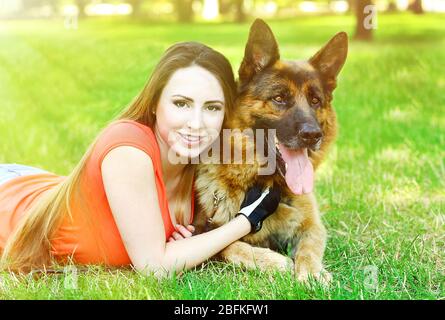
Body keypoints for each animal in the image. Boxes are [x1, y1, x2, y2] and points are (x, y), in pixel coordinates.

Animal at [192, 19, 346, 282]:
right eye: (279, 98)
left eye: (315, 101)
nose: (312, 135)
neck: (264, 182)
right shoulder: (200, 230)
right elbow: (230, 245)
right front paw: (275, 262)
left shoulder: (312, 225)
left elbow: (309, 248)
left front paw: (311, 271)